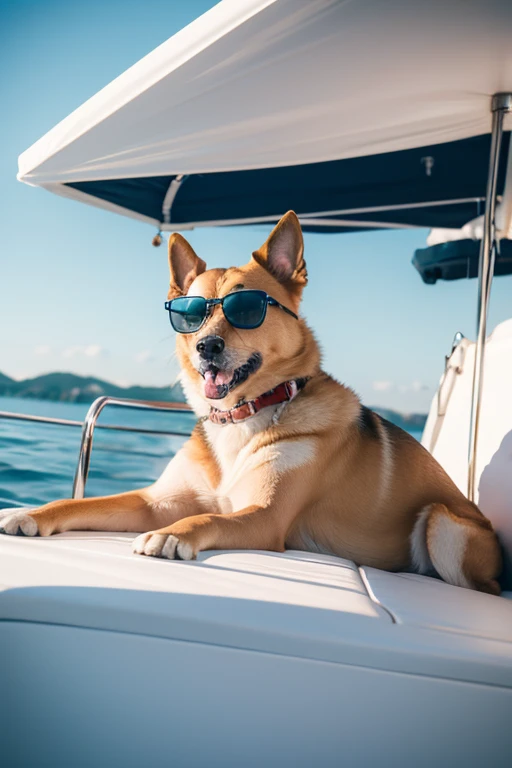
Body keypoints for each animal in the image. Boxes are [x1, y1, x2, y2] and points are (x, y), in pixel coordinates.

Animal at [0, 213, 504, 596]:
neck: (242, 415)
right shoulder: (154, 502)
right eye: (190, 313)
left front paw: (172, 535)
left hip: (444, 524)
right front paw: (28, 513)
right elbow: (78, 503)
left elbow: (205, 515)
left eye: (246, 309)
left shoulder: (265, 518)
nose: (206, 346)